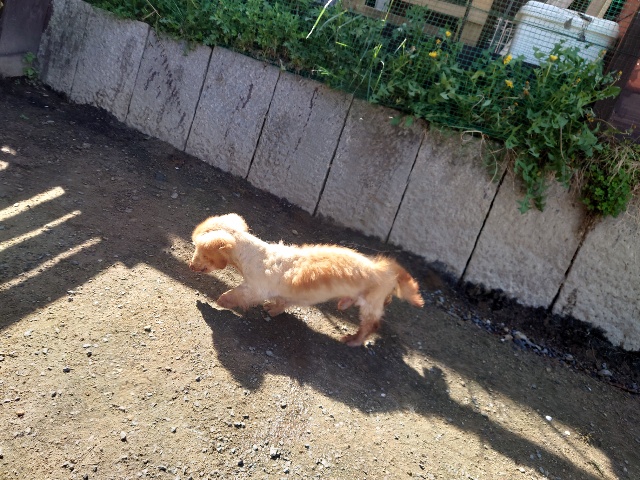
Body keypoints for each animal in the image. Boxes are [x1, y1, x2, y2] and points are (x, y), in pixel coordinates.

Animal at [189, 213, 424, 346]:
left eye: (200, 251)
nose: (190, 266)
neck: (254, 256)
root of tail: (388, 269)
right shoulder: (286, 295)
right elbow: (282, 303)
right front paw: (272, 309)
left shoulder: (254, 289)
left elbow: (235, 294)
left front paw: (221, 301)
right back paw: (344, 303)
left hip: (369, 305)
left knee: (370, 326)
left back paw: (353, 340)